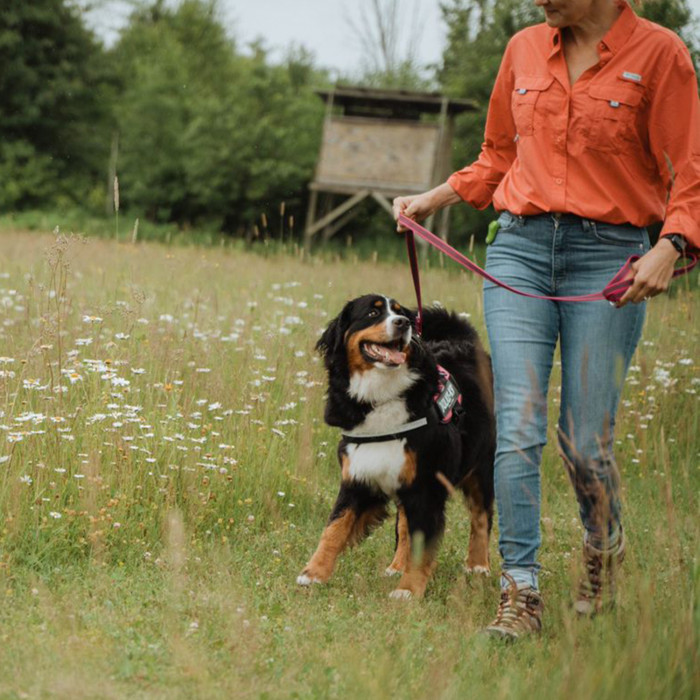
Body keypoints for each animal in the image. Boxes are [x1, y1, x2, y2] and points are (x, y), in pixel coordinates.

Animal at [296, 292, 498, 600]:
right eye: (373, 313)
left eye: (401, 312)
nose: (403, 323)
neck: (382, 395)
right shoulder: (358, 476)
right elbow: (334, 527)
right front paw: (313, 573)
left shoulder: (427, 485)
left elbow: (422, 544)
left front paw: (408, 590)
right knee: (405, 524)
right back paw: (396, 565)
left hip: (482, 464)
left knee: (481, 516)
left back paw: (478, 566)